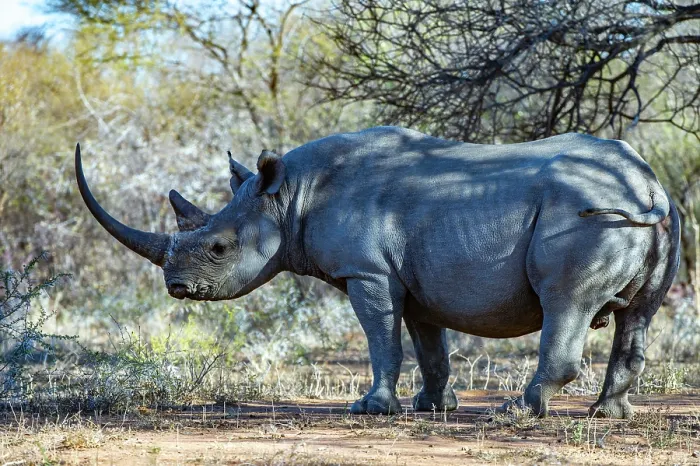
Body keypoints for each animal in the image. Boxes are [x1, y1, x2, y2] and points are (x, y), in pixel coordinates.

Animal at [75, 127, 680, 419]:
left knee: (565, 302)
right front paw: (433, 407)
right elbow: (428, 344)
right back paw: (608, 415)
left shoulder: (365, 272)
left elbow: (381, 339)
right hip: (666, 216)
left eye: (220, 249)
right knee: (638, 316)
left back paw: (516, 413)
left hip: (578, 216)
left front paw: (372, 408)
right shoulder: (413, 278)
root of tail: (647, 184)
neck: (289, 196)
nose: (177, 288)